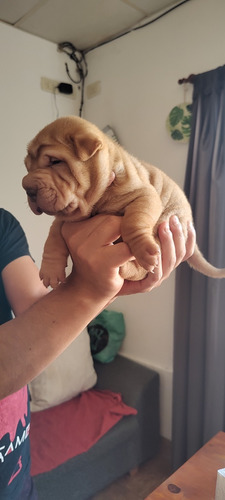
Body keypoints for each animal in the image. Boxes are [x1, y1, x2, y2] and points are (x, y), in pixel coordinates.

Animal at [22, 115, 225, 288]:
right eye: (28, 167)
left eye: (55, 161)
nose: (27, 187)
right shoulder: (65, 217)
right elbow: (53, 237)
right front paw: (50, 270)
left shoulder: (144, 194)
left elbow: (133, 221)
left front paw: (143, 249)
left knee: (140, 270)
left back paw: (126, 267)